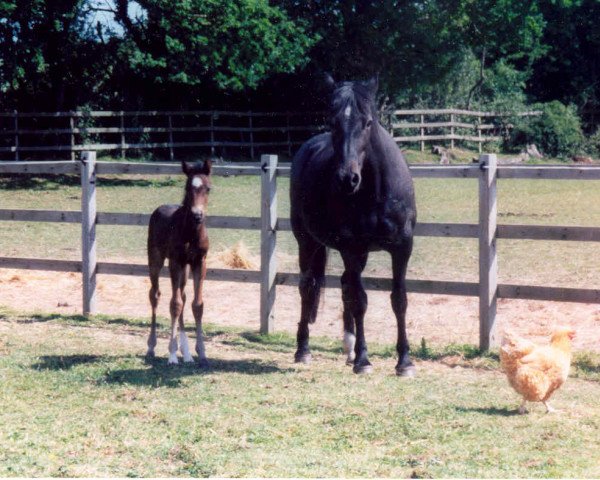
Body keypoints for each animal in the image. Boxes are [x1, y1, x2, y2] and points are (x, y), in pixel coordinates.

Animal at [290, 76, 418, 376]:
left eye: (368, 122)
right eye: (332, 122)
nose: (347, 178)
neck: (377, 192)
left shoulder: (402, 248)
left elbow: (399, 299)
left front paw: (404, 361)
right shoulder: (353, 248)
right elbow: (360, 301)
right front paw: (363, 360)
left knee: (345, 286)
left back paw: (347, 348)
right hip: (307, 242)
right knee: (308, 287)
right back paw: (303, 350)